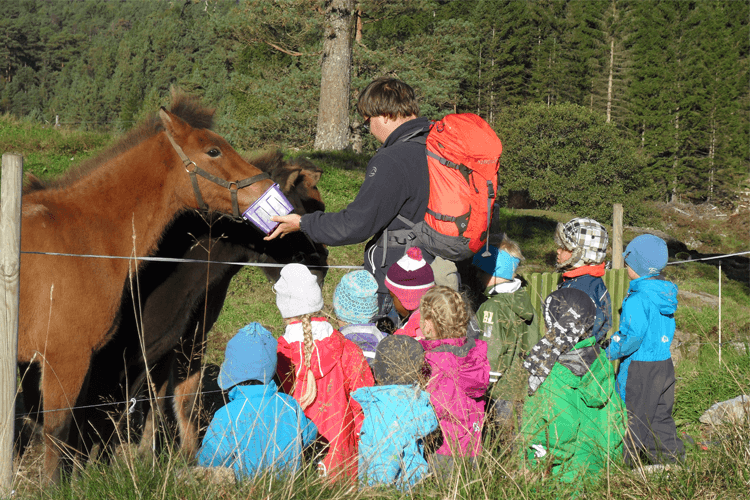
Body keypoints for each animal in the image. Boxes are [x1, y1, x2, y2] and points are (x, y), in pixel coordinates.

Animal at [19, 94, 274, 484]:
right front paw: (53, 486)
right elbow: (57, 431)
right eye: (213, 150)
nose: (265, 188)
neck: (79, 238)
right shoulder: (65, 356)